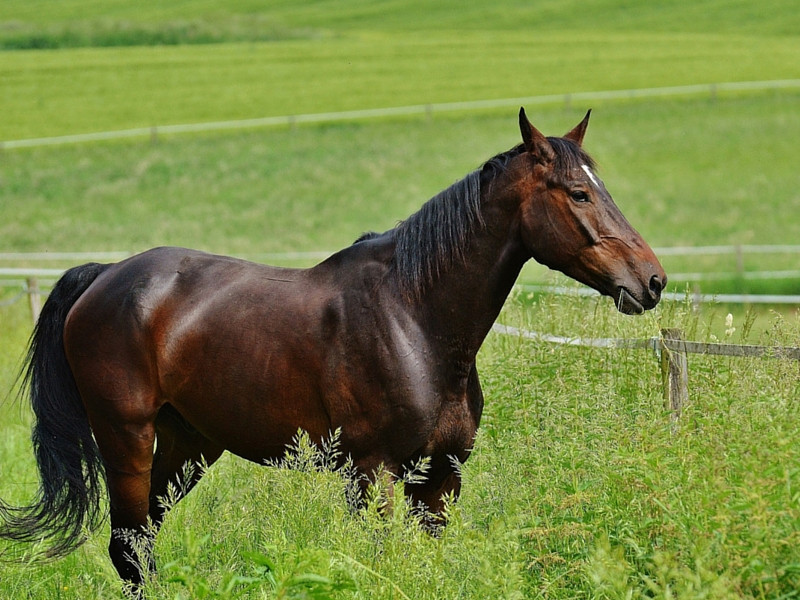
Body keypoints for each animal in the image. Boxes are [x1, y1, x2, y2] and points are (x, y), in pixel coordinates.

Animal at [0, 109, 666, 586]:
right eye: (578, 194)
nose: (652, 281)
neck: (415, 318)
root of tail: (106, 276)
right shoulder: (374, 474)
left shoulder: (440, 479)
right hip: (127, 440)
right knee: (127, 546)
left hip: (190, 446)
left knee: (140, 544)